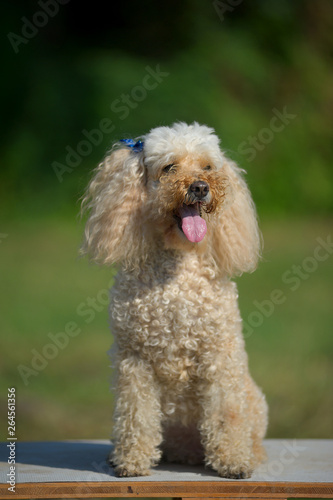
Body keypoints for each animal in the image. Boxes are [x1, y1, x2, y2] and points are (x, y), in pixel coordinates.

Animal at [80, 122, 268, 480]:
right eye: (169, 168)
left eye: (208, 167)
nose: (200, 187)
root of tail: (188, 451)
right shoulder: (134, 360)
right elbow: (136, 415)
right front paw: (132, 461)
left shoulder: (220, 355)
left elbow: (227, 412)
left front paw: (233, 461)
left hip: (254, 399)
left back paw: (248, 454)